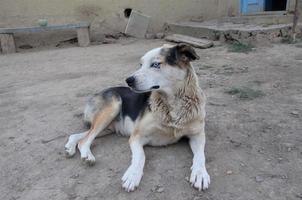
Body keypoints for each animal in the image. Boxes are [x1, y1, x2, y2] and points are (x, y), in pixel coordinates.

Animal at [64, 44, 210, 192]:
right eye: (141, 64)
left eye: (156, 64)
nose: (128, 80)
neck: (173, 105)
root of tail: (98, 93)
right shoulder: (136, 136)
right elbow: (141, 156)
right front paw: (132, 175)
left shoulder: (197, 135)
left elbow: (201, 155)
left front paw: (200, 174)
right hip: (113, 106)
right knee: (85, 139)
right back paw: (87, 156)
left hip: (108, 128)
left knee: (78, 136)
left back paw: (70, 148)